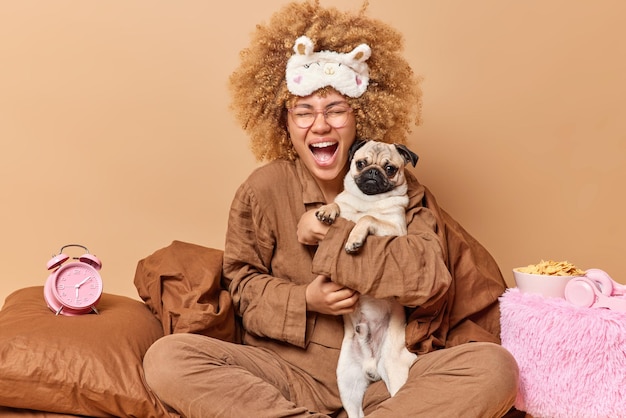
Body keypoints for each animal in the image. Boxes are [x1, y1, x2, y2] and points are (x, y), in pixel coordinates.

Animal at [316, 140, 420, 418]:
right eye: (361, 163)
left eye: (390, 168)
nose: (373, 172)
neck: (368, 200)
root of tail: (372, 366)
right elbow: (340, 206)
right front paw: (327, 210)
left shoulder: (396, 230)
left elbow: (367, 218)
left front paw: (354, 238)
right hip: (346, 382)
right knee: (355, 412)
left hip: (395, 373)